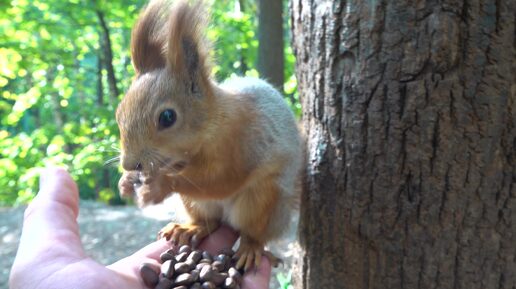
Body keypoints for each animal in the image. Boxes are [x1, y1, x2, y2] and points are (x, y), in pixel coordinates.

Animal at [117, 0, 302, 270]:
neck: (213, 126)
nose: (130, 164)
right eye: (119, 113)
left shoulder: (244, 145)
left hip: (262, 201)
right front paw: (126, 181)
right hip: (194, 203)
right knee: (211, 221)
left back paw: (250, 247)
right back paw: (190, 228)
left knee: (253, 231)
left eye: (167, 117)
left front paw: (161, 185)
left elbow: (220, 181)